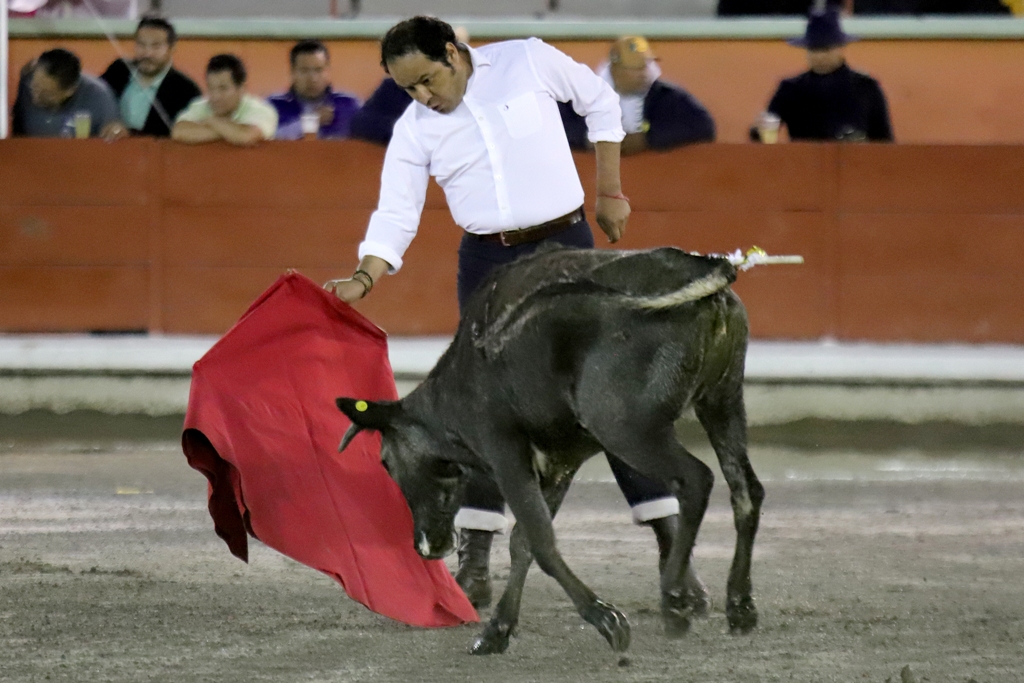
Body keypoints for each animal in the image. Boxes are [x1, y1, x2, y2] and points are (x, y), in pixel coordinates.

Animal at [339, 246, 765, 655]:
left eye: (386, 462)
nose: (426, 546)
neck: (461, 383)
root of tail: (705, 271)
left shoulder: (505, 452)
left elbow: (540, 540)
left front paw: (606, 618)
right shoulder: (562, 460)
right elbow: (523, 541)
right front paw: (496, 631)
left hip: (627, 429)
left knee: (695, 479)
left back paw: (675, 601)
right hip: (723, 401)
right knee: (746, 489)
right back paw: (740, 606)